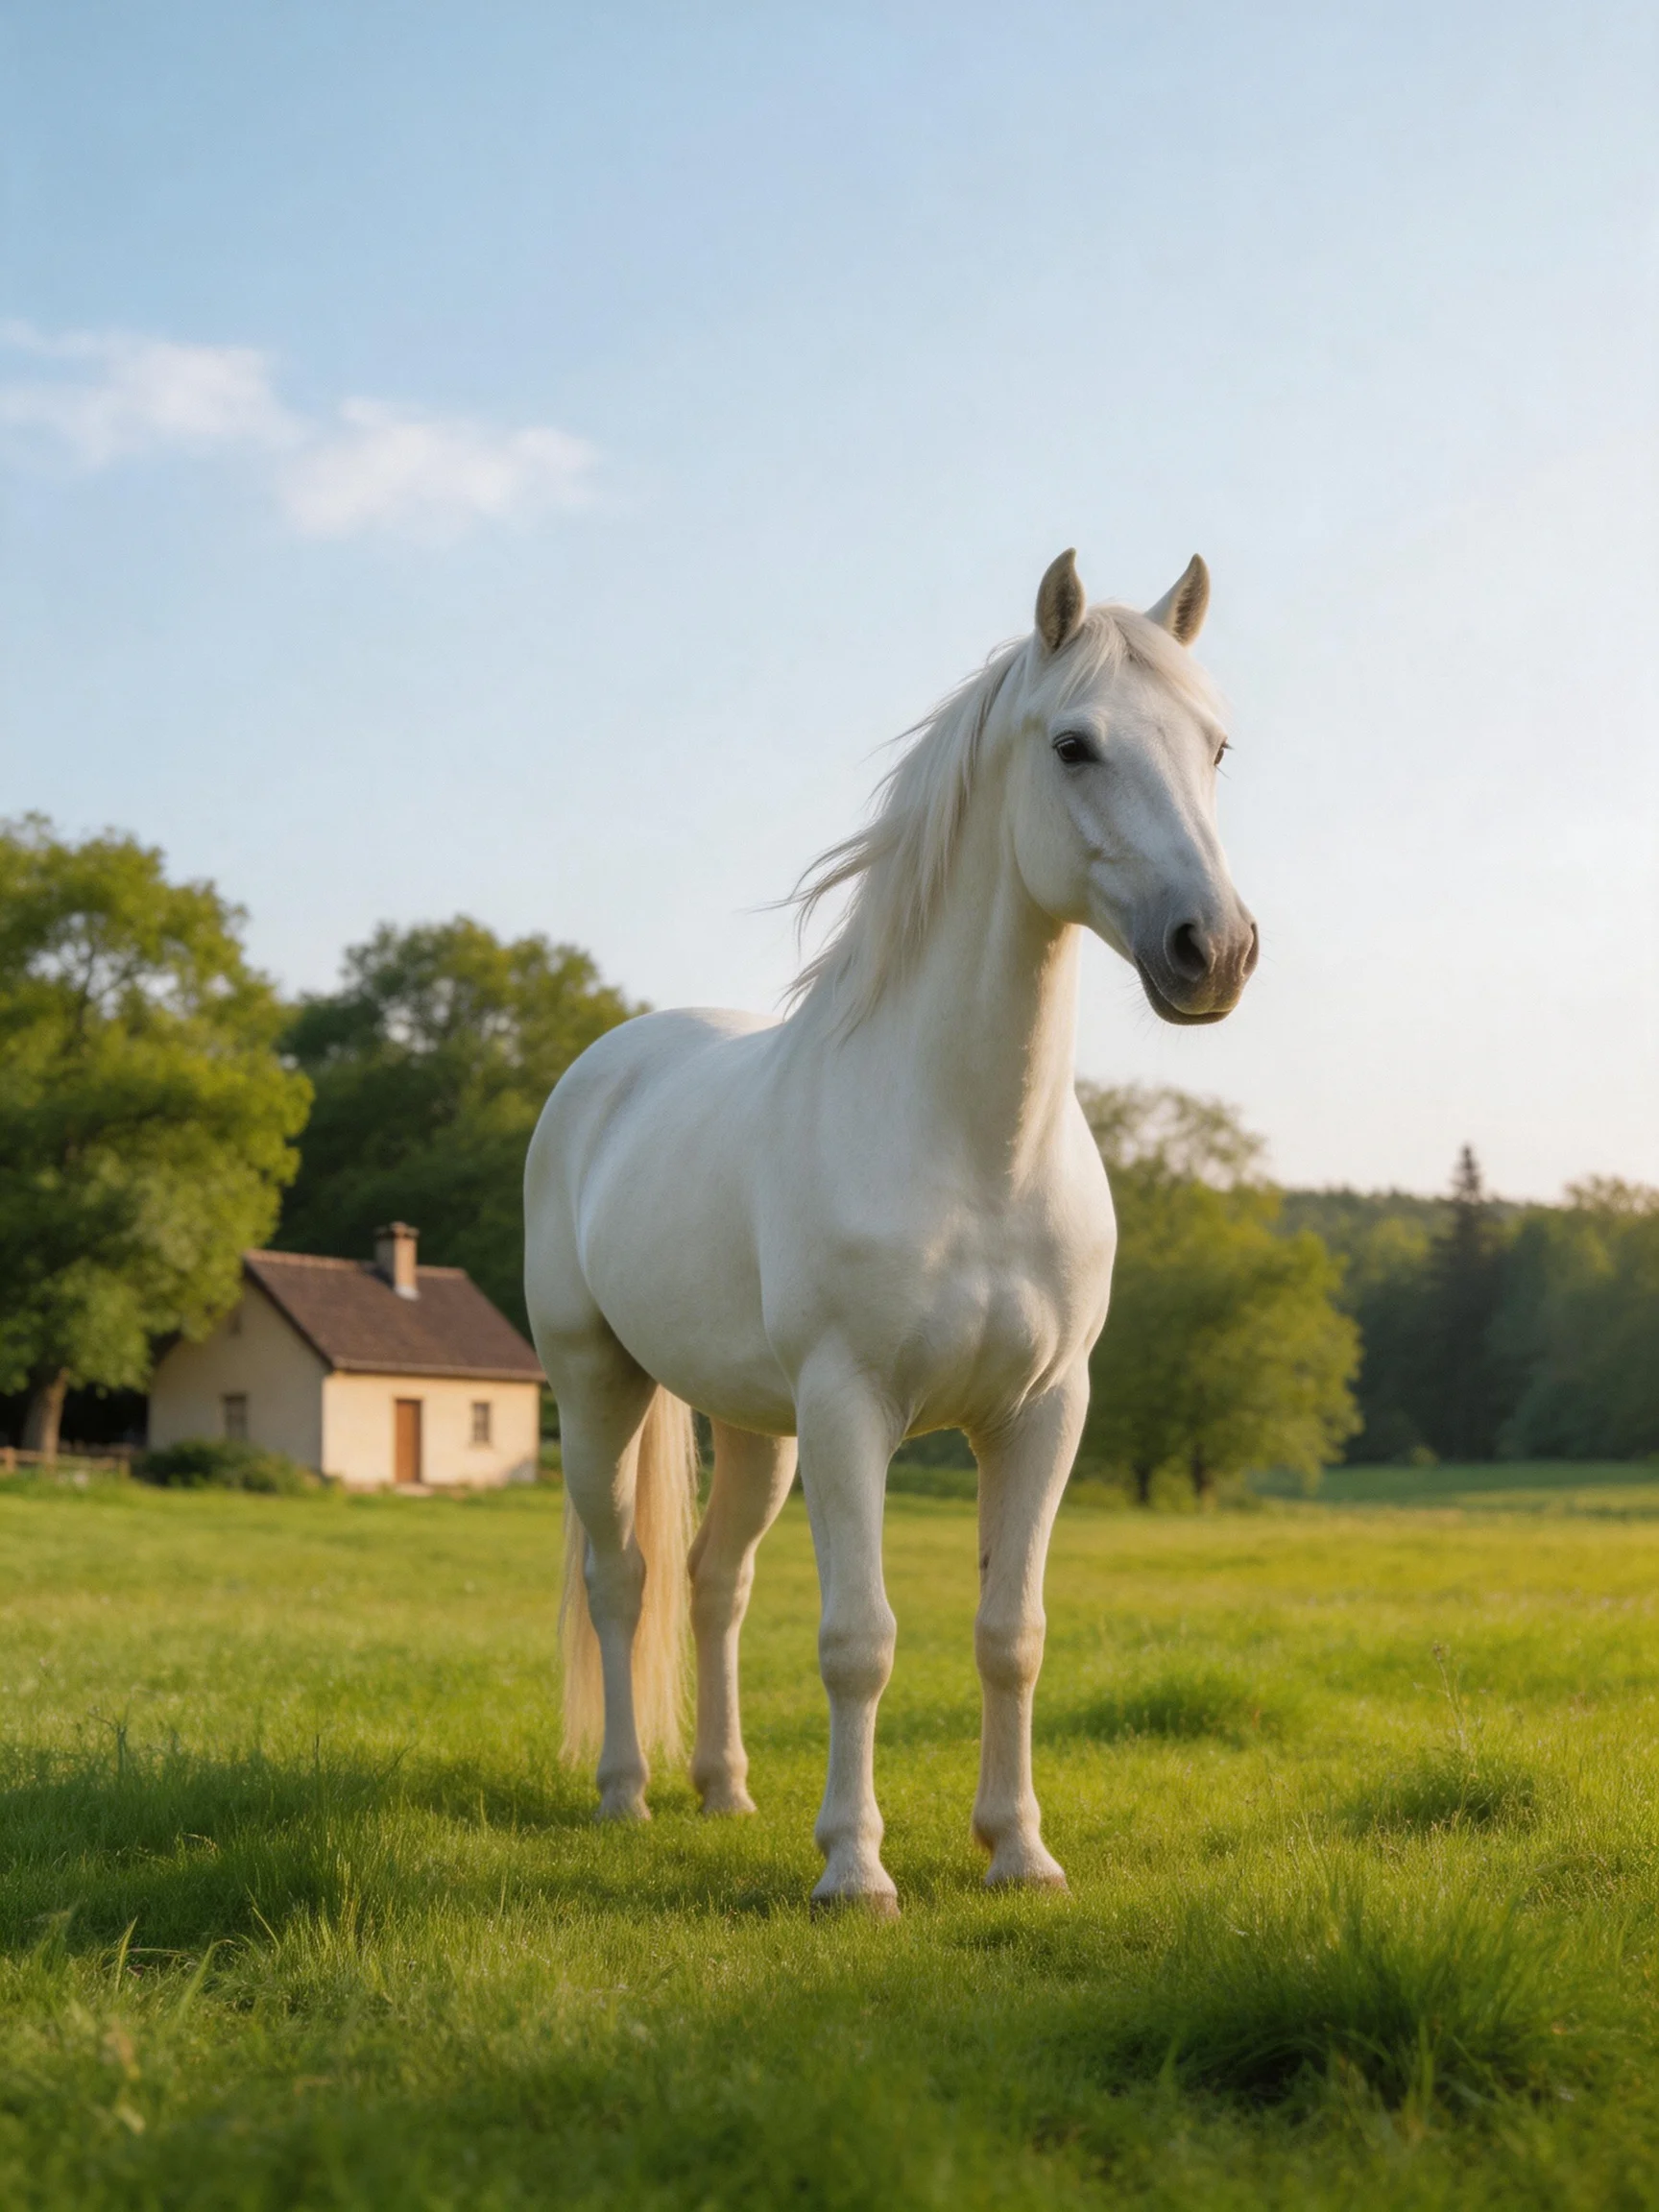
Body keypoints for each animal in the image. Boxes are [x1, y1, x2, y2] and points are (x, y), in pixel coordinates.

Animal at [524, 548, 1257, 1912]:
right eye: (1074, 744)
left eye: (1217, 746)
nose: (1216, 951)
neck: (972, 1149)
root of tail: (606, 1068)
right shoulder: (851, 1406)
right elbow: (858, 1640)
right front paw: (855, 1871)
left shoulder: (1042, 1413)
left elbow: (1010, 1636)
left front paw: (1018, 1851)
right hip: (601, 1386)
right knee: (623, 1581)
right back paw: (626, 1795)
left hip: (756, 1429)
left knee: (715, 1583)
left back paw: (724, 1788)